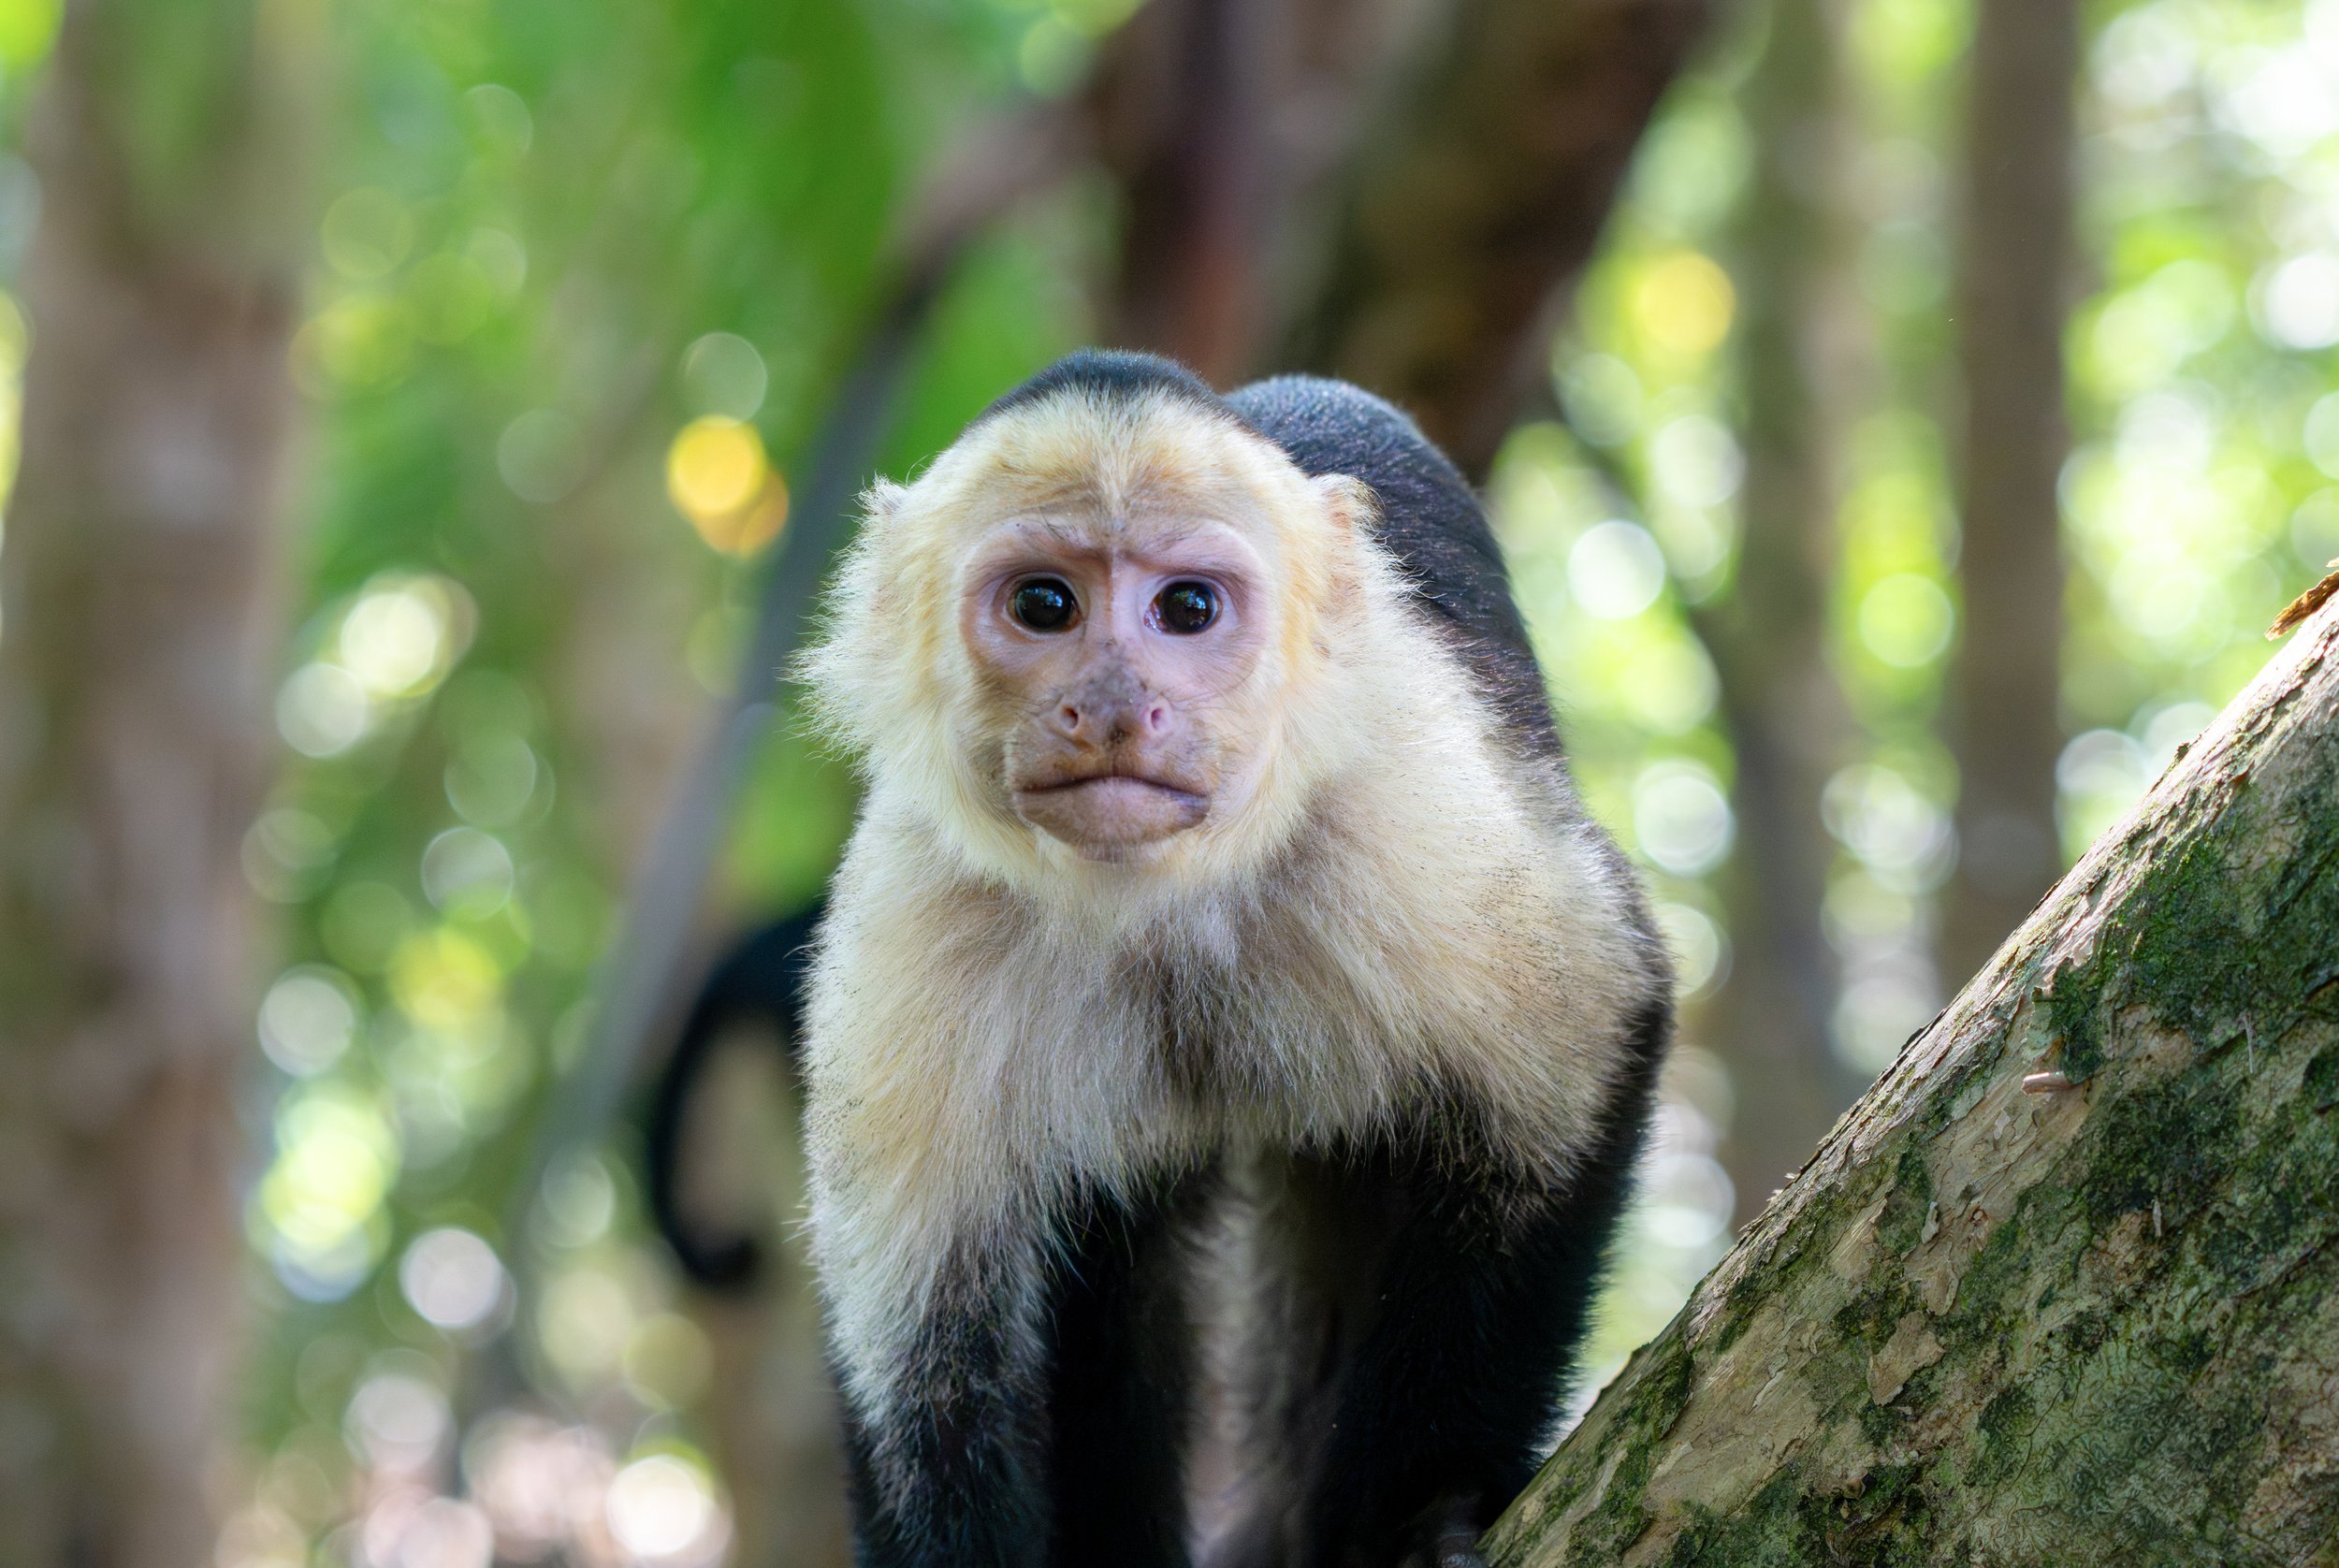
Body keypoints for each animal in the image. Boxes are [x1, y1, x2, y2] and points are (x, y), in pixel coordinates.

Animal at [794, 349, 1673, 1568]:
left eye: (1188, 608)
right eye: (1043, 604)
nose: (1115, 705)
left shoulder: (1397, 800)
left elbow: (1583, 1035)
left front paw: (1424, 1505)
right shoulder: (916, 898)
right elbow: (924, 1340)